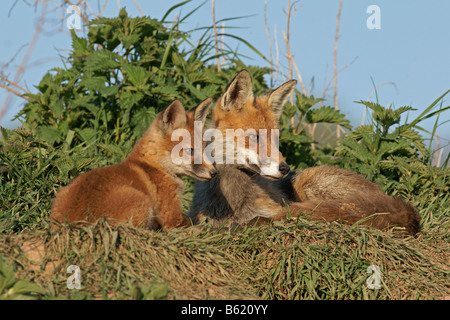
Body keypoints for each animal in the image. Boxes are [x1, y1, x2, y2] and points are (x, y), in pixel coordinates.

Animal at [51, 98, 216, 230]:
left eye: (204, 148)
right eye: (190, 150)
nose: (214, 172)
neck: (155, 166)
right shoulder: (172, 216)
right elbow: (191, 222)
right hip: (143, 205)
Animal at [188, 70, 420, 235]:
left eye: (276, 138)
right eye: (255, 137)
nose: (285, 168)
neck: (234, 201)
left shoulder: (276, 209)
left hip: (309, 182)